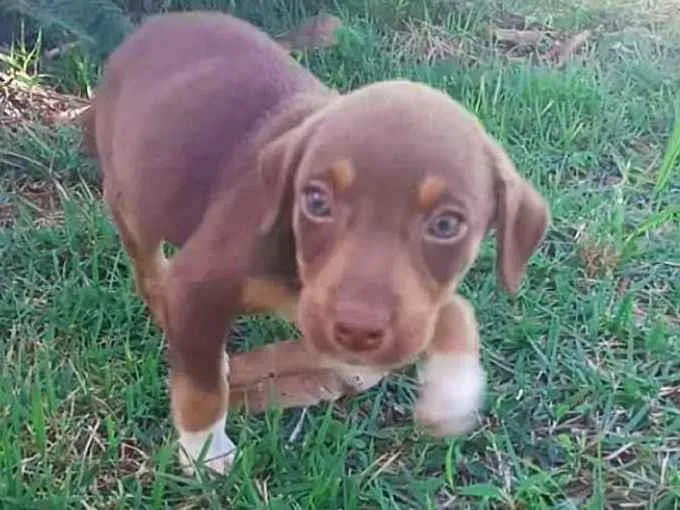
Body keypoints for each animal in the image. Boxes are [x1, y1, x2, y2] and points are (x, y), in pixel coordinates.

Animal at [83, 10, 552, 474]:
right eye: (316, 201)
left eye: (447, 225)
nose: (357, 331)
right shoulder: (198, 282)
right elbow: (201, 386)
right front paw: (205, 450)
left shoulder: (403, 305)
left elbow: (455, 311)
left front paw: (452, 393)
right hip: (130, 197)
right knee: (149, 270)